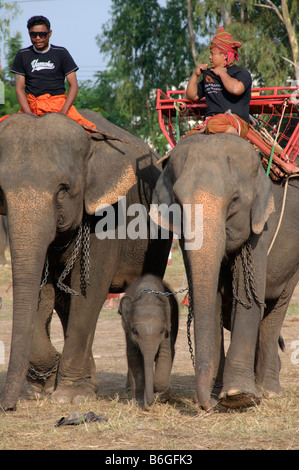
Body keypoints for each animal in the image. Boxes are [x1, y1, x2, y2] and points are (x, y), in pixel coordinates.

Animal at [0, 111, 171, 412]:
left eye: (63, 189)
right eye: (1, 191)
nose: (7, 407)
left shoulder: (107, 217)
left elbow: (89, 290)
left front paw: (70, 396)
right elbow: (47, 292)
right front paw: (56, 383)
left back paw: (130, 389)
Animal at [119, 274, 179, 406]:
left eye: (161, 331)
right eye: (135, 331)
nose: (150, 403)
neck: (148, 296)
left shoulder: (168, 328)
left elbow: (166, 353)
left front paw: (161, 396)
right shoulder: (128, 332)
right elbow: (133, 355)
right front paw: (139, 401)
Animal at [151, 132, 282, 412]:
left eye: (234, 200)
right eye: (177, 202)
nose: (208, 405)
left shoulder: (262, 226)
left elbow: (249, 296)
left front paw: (238, 396)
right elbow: (210, 301)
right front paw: (222, 393)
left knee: (277, 309)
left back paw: (269, 391)